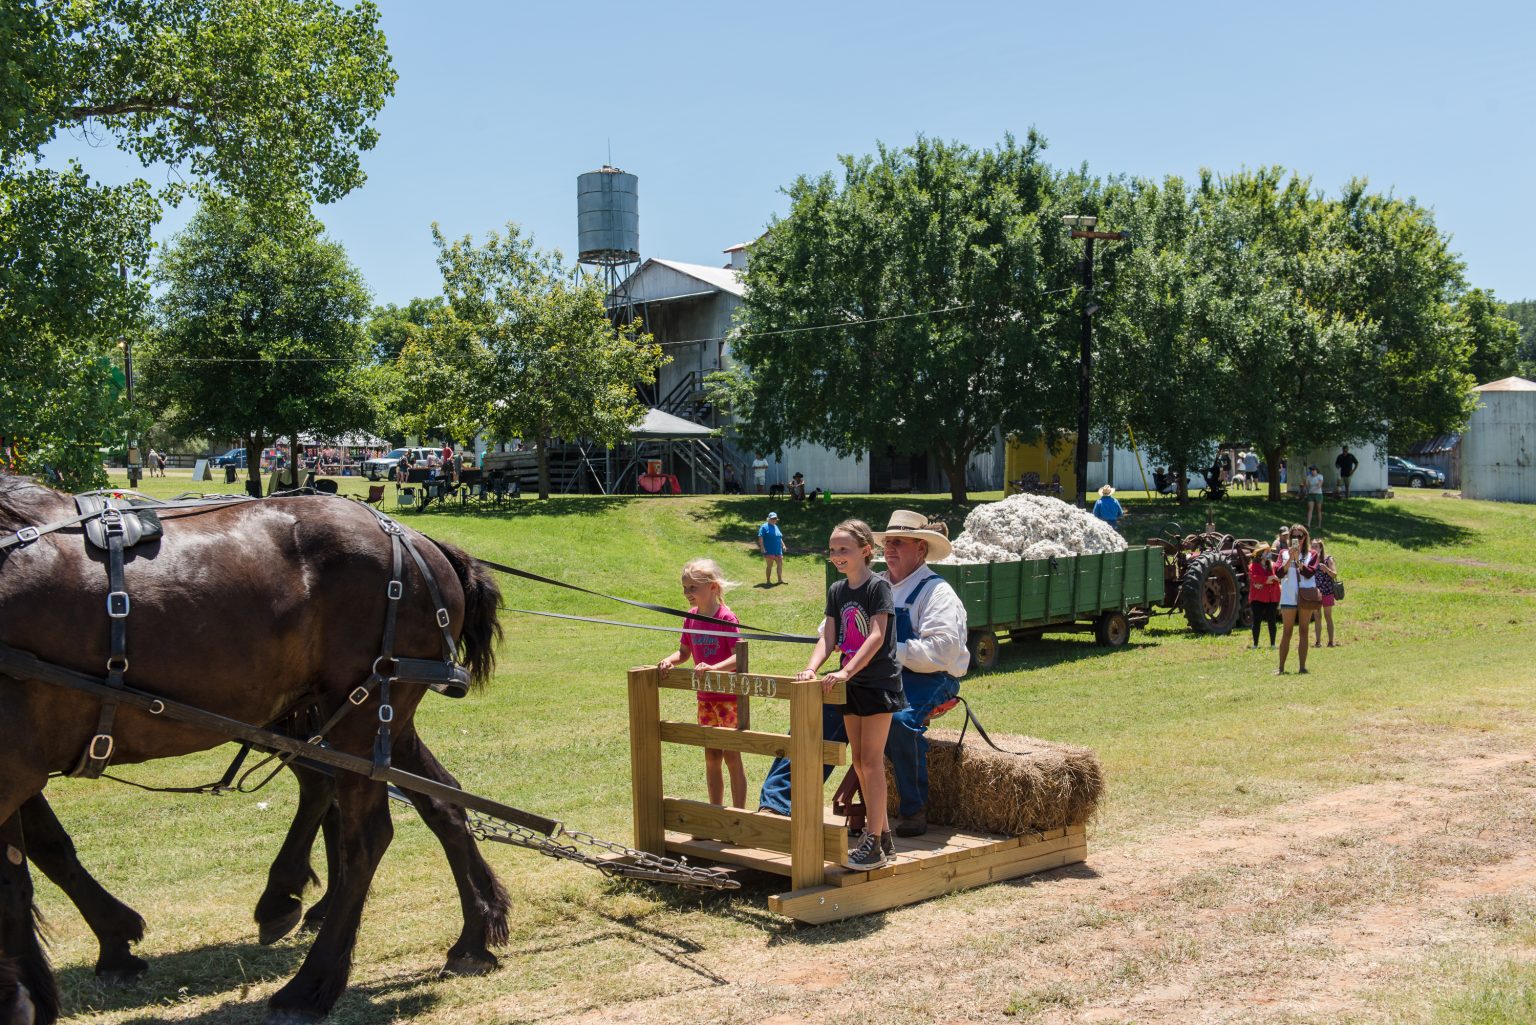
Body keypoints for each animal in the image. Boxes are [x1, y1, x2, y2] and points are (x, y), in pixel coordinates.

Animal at [0, 476, 497, 1025]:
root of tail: (416, 539)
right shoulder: (21, 769)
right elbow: (27, 867)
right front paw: (69, 967)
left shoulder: (15, 767)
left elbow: (27, 867)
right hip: (370, 719)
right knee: (439, 799)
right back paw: (473, 934)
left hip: (359, 715)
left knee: (364, 834)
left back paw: (311, 981)